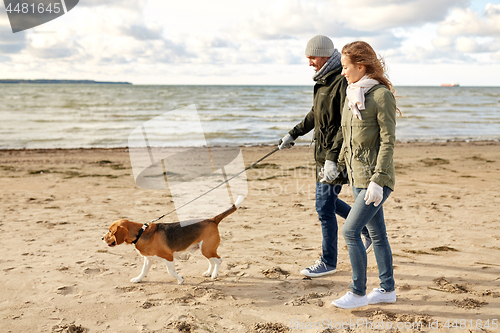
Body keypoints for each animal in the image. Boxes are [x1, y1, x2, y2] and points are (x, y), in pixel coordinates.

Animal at [102, 196, 243, 284]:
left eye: (111, 231)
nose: (102, 238)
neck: (141, 233)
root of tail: (212, 220)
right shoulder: (148, 259)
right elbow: (143, 271)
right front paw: (138, 279)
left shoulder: (168, 257)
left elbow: (171, 272)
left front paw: (180, 279)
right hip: (205, 249)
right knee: (212, 261)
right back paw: (209, 273)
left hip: (207, 249)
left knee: (219, 260)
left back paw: (214, 275)